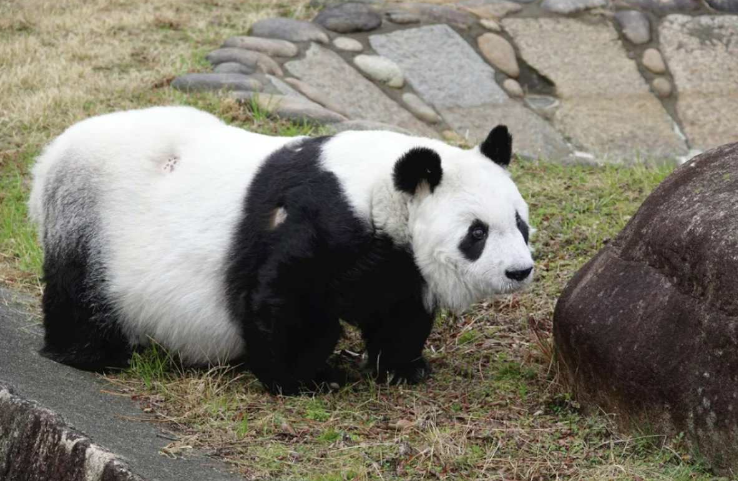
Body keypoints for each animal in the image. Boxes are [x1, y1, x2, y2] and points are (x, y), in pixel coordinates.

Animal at [28, 105, 532, 394]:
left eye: (520, 223)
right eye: (477, 233)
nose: (519, 271)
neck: (379, 188)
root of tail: (51, 157)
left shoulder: (394, 257)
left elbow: (396, 308)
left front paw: (405, 368)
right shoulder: (320, 217)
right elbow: (285, 301)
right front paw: (307, 379)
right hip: (91, 220)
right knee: (82, 294)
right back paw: (91, 356)